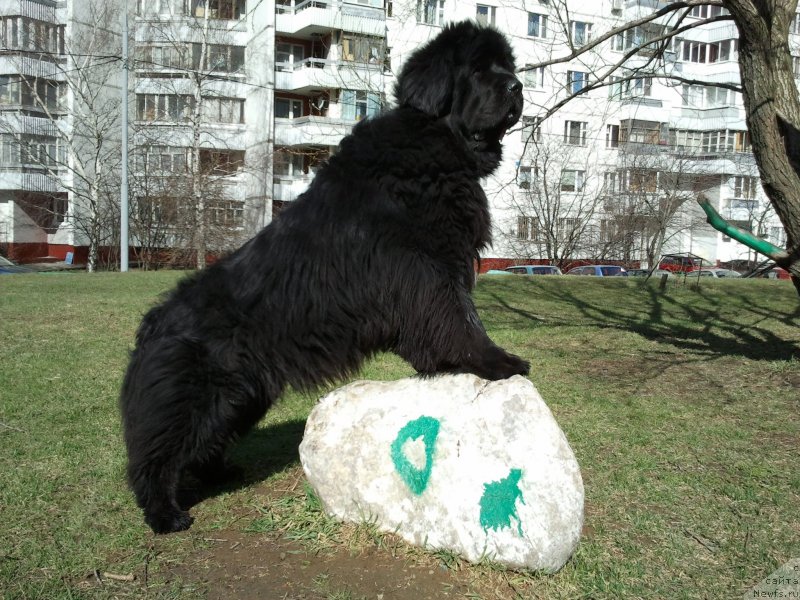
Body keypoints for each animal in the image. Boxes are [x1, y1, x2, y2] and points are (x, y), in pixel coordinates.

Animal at [122, 19, 528, 536]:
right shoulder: (429, 272)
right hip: (196, 401)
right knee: (157, 457)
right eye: (478, 70)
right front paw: (496, 363)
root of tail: (154, 322)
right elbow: (460, 321)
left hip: (241, 399)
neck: (436, 142)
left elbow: (454, 320)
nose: (516, 87)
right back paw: (165, 515)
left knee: (202, 445)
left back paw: (220, 473)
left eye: (507, 67)